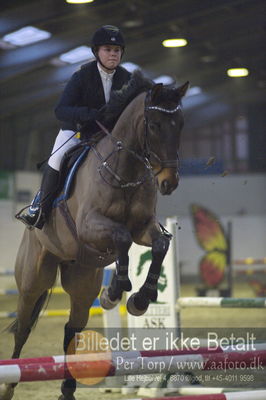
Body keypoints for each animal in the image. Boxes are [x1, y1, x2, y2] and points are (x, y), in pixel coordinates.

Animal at [0, 72, 187, 400]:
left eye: (181, 125)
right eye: (154, 125)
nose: (169, 182)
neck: (125, 170)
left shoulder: (143, 228)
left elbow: (159, 244)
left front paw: (140, 298)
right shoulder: (90, 226)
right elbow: (122, 238)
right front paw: (117, 290)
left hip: (82, 281)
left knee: (71, 330)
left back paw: (67, 389)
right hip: (33, 279)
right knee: (23, 327)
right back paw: (9, 385)